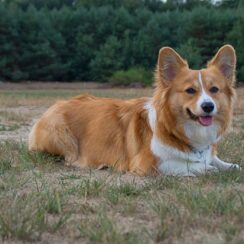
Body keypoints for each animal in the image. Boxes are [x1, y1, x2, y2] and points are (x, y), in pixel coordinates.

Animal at [28, 44, 240, 176]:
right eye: (190, 90)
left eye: (214, 90)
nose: (208, 106)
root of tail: (56, 104)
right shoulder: (148, 164)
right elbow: (186, 165)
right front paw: (205, 169)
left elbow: (219, 161)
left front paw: (229, 165)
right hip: (62, 136)